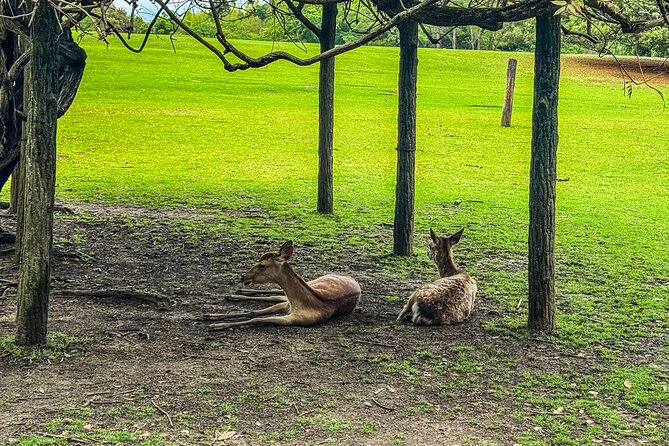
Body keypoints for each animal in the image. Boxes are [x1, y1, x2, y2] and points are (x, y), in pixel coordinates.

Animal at [204, 241, 361, 331]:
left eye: (262, 265)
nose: (243, 276)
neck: (300, 304)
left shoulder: (296, 319)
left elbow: (258, 318)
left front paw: (216, 325)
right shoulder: (287, 305)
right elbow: (254, 312)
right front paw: (210, 315)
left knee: (277, 295)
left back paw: (236, 293)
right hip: (315, 281)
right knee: (277, 293)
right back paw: (235, 293)